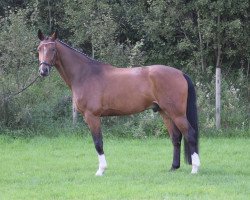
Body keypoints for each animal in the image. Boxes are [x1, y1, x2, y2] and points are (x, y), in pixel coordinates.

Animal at [36, 29, 201, 175]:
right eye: (39, 49)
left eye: (52, 49)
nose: (43, 71)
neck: (85, 75)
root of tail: (180, 73)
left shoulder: (92, 116)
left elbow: (98, 143)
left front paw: (101, 170)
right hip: (165, 112)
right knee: (176, 138)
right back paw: (173, 167)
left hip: (177, 114)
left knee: (190, 134)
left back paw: (195, 169)